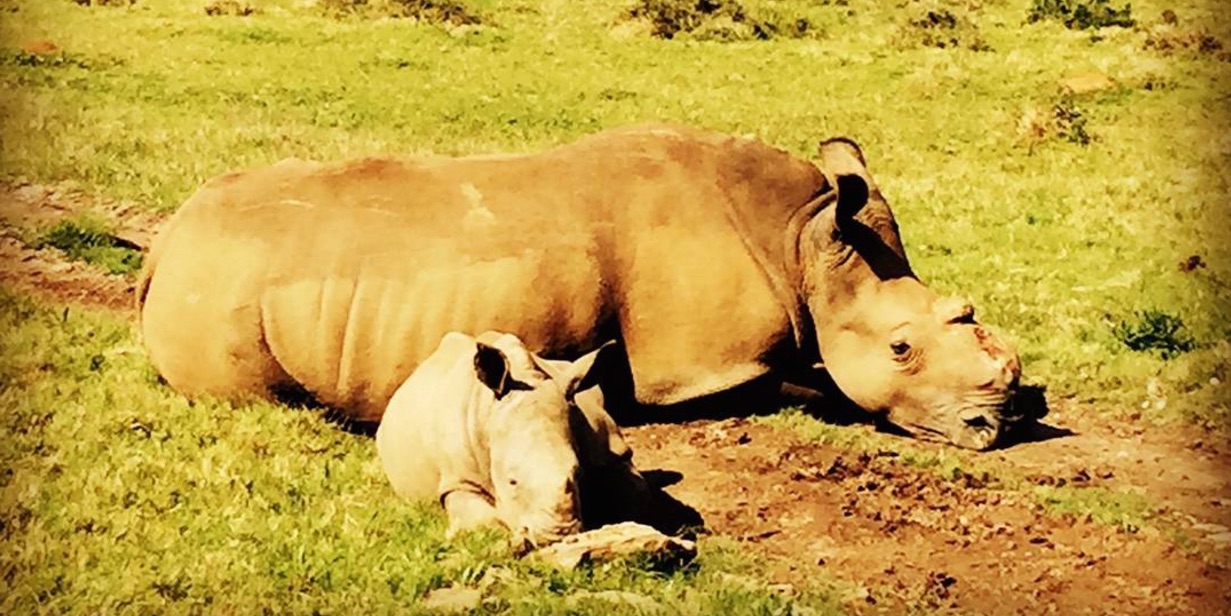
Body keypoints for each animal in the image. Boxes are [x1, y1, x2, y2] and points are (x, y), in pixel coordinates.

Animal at [138, 122, 1022, 450]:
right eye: (901, 348)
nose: (995, 425)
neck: (802, 241)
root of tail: (166, 243)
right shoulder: (703, 366)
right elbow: (806, 383)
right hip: (215, 289)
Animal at [376, 331, 645, 548]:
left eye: (578, 474)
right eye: (512, 481)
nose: (556, 536)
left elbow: (631, 493)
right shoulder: (458, 479)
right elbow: (481, 519)